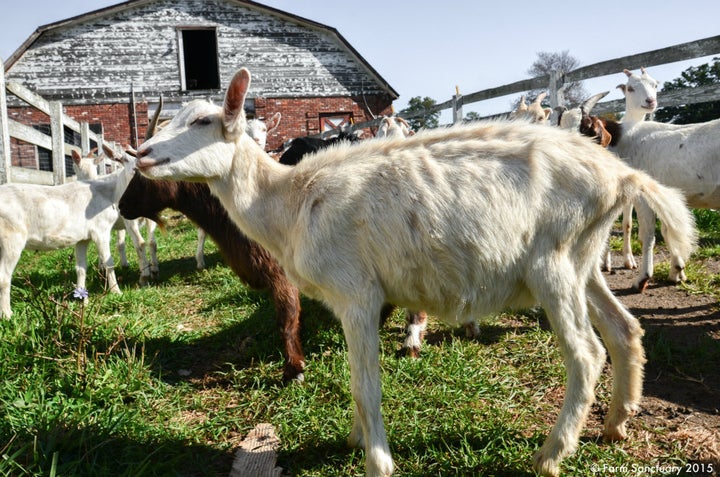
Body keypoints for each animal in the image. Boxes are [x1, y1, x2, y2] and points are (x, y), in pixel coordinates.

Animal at [0, 149, 137, 316]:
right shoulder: (101, 230)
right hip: (12, 237)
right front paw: (116, 292)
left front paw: (82, 299)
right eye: (123, 160)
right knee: (3, 277)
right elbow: (108, 262)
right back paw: (7, 315)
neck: (109, 193)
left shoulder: (83, 238)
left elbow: (81, 269)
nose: (135, 170)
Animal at [72, 149, 159, 282]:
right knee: (152, 242)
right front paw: (124, 265)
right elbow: (120, 244)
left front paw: (102, 268)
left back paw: (144, 276)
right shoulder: (119, 224)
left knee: (140, 242)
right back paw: (154, 270)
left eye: (74, 168)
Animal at [135, 68, 696, 476]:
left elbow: (366, 385)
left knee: (586, 353)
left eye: (204, 123)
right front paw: (356, 437)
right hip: (583, 260)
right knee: (625, 330)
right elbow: (358, 382)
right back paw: (616, 424)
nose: (140, 154)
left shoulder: (357, 294)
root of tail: (621, 174)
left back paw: (551, 454)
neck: (289, 200)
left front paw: (377, 462)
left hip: (552, 265)